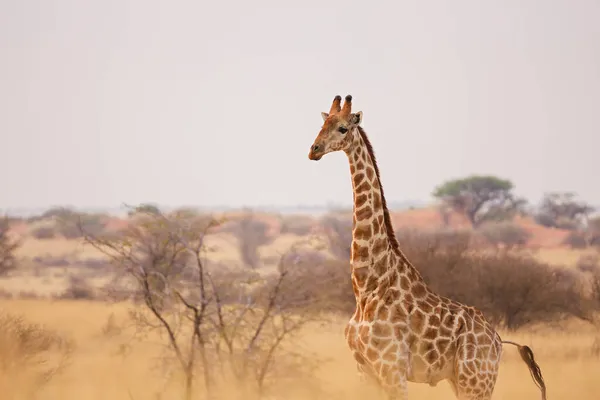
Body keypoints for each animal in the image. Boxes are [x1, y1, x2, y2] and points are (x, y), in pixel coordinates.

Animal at [308, 95, 548, 398]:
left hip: (475, 382)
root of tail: (499, 341)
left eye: (342, 128)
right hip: (461, 381)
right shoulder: (365, 369)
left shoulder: (392, 368)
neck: (366, 286)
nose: (314, 150)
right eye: (322, 124)